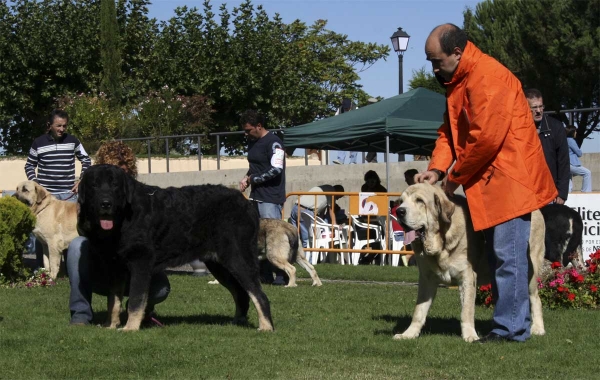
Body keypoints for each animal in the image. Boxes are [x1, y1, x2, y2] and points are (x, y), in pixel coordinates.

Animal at [76, 165, 274, 332]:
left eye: (115, 185)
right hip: (220, 266)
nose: (106, 203)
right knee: (241, 294)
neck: (123, 218)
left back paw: (266, 327)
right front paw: (111, 325)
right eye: (94, 185)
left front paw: (130, 328)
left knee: (260, 295)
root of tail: (245, 202)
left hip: (238, 258)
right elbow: (113, 301)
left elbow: (135, 300)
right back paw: (237, 322)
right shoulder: (115, 268)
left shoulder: (141, 262)